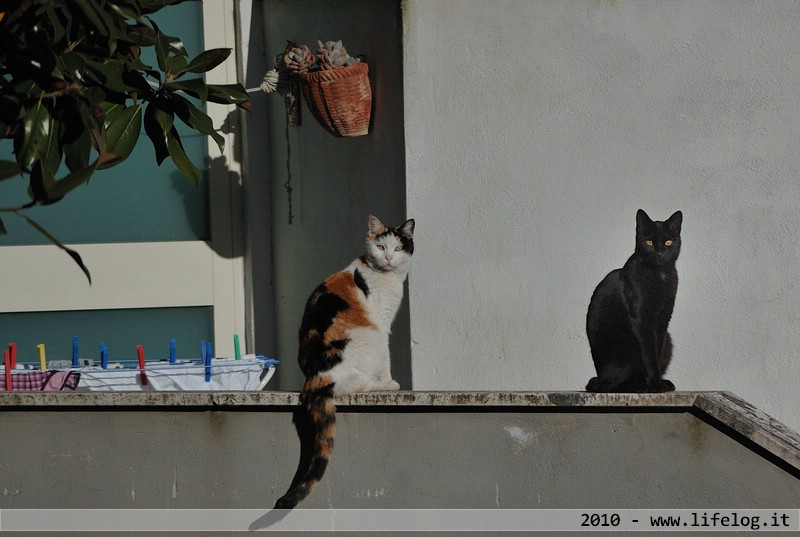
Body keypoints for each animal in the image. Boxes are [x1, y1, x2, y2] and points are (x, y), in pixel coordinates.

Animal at [274, 214, 416, 506]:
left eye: (398, 248)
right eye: (381, 247)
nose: (388, 258)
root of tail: (315, 377)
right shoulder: (383, 324)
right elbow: (387, 359)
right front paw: (389, 381)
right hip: (371, 336)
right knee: (357, 384)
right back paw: (385, 386)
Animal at [588, 207, 680, 392]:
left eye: (668, 242)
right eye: (649, 242)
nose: (659, 253)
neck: (660, 275)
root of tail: (599, 377)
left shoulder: (664, 317)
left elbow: (657, 351)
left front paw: (657, 383)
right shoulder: (642, 319)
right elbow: (649, 354)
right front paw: (655, 385)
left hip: (668, 341)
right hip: (624, 349)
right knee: (613, 385)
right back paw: (638, 385)